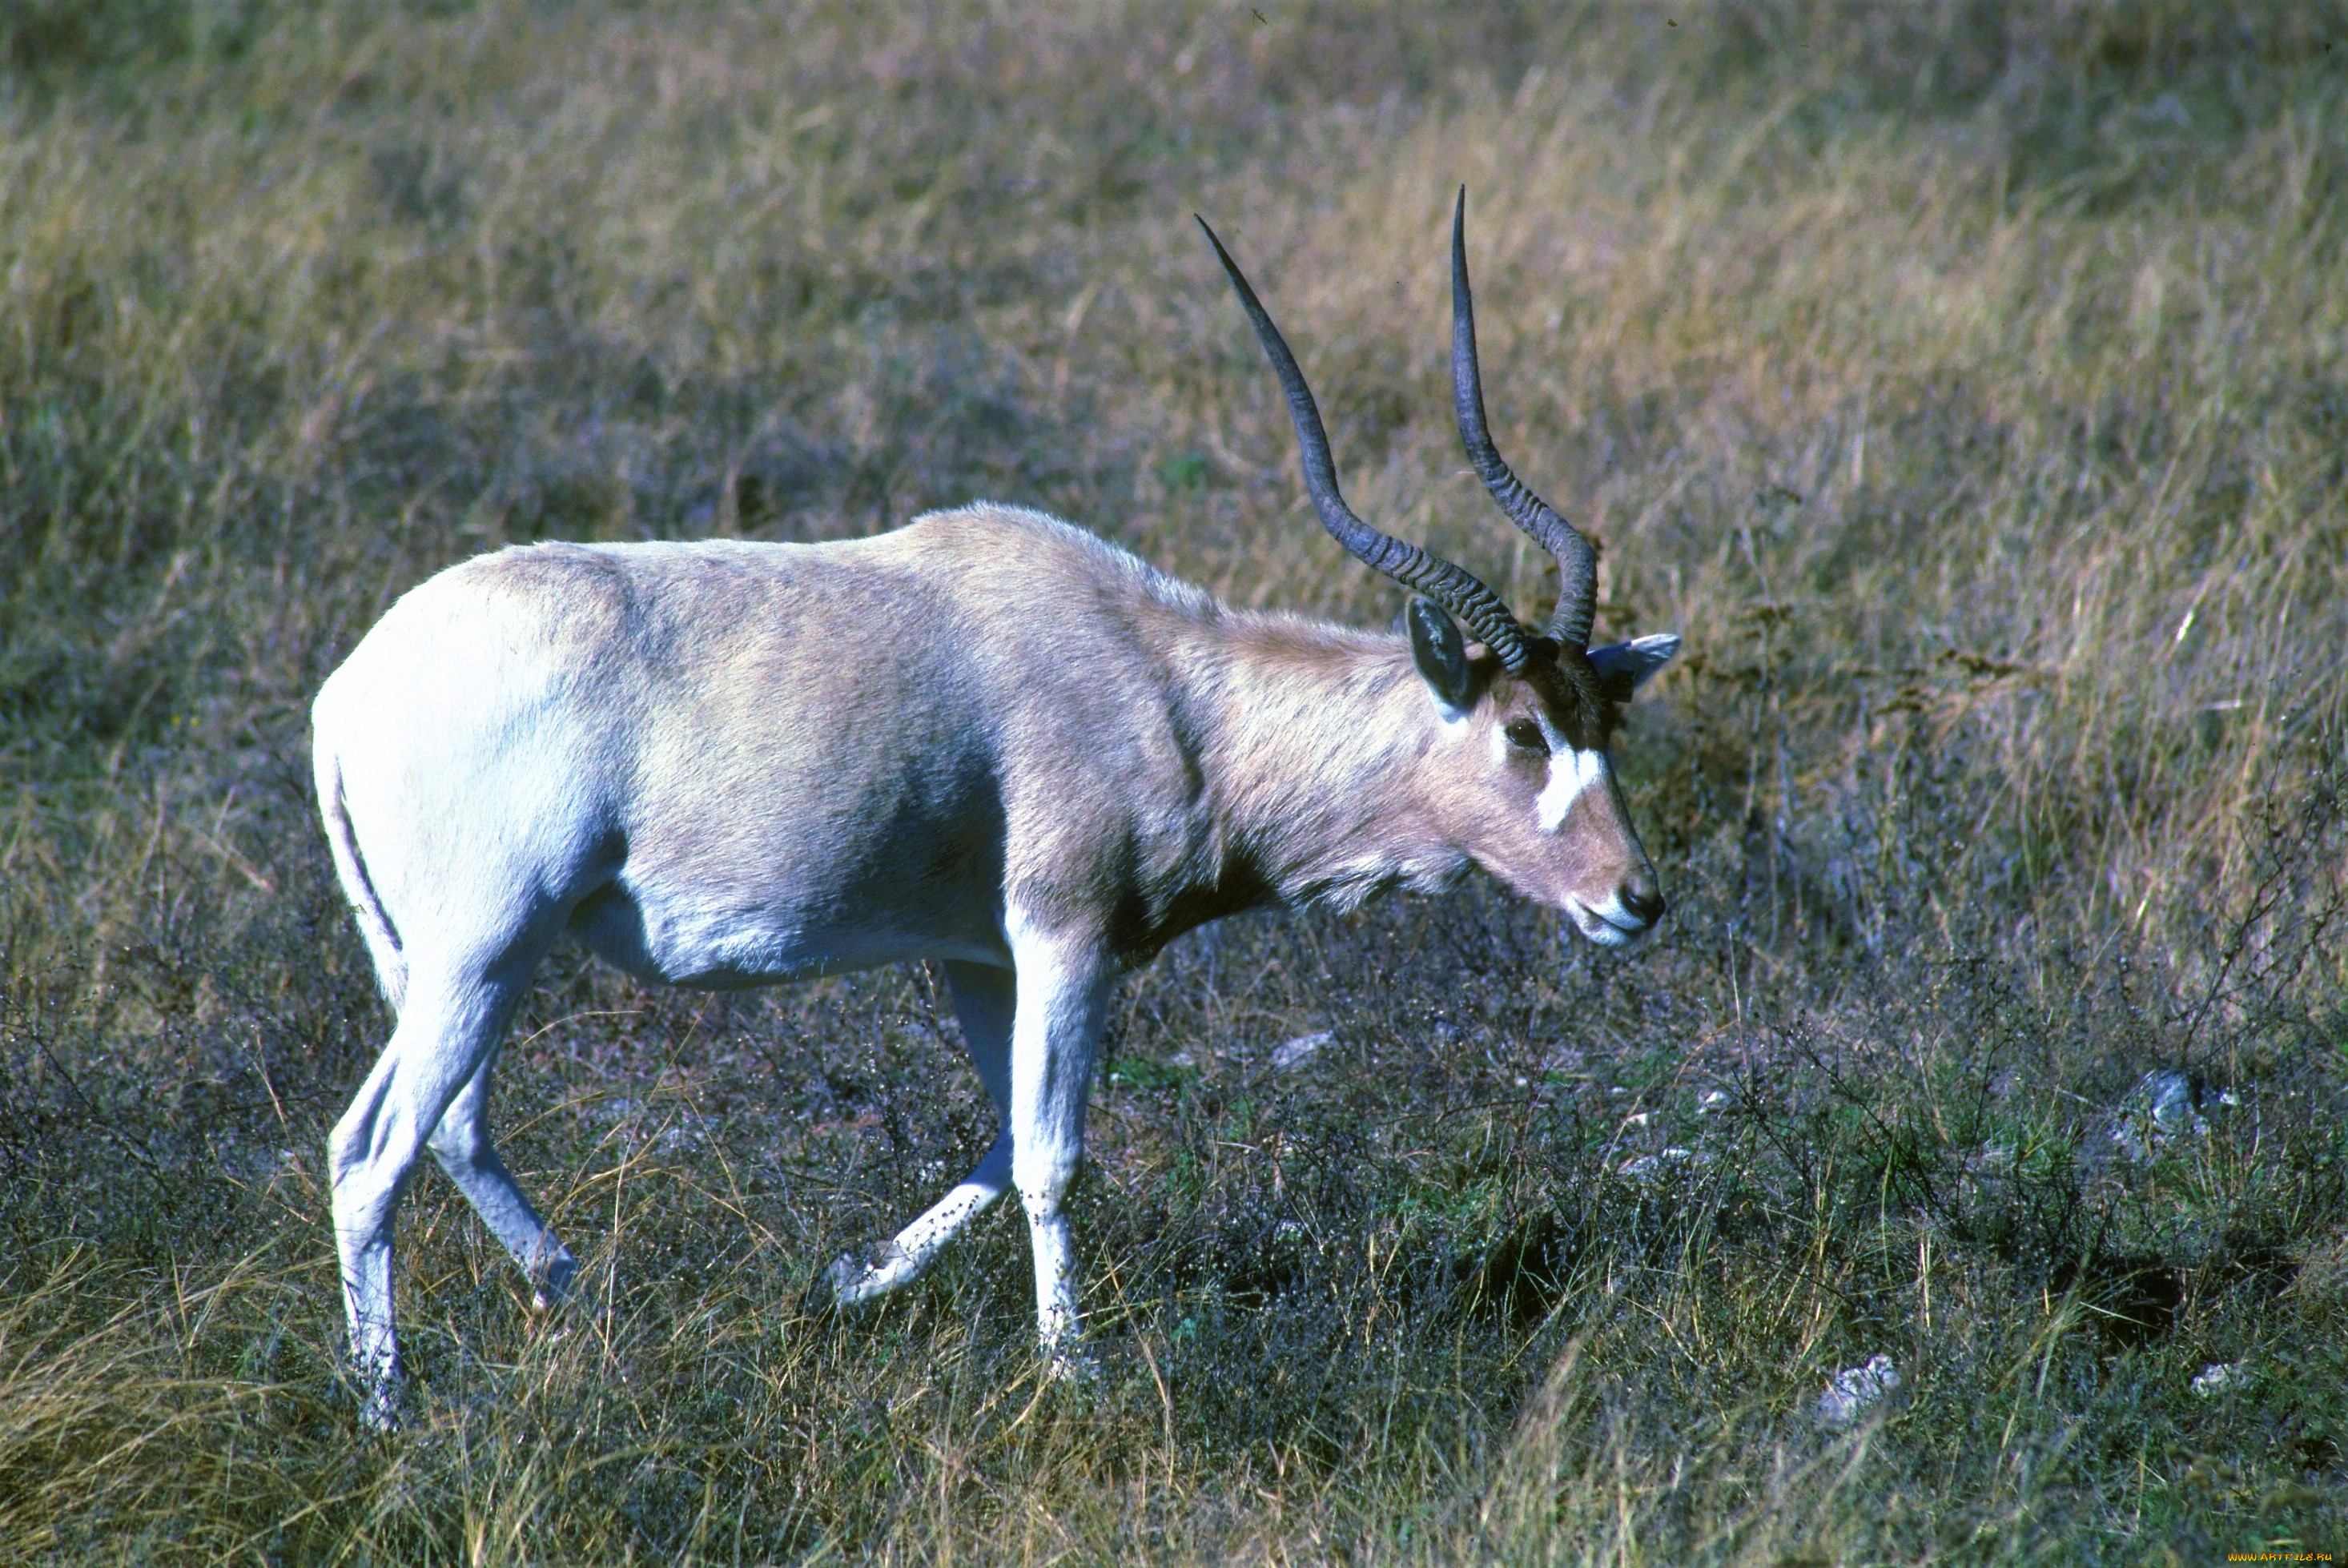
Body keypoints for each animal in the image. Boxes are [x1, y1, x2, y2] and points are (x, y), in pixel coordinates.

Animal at [312, 190, 1671, 1427]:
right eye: (1522, 730)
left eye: (1604, 721)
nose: (1636, 899)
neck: (1162, 683)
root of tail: (349, 692)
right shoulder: (1064, 936)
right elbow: (1055, 1153)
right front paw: (1076, 1368)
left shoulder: (982, 956)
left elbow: (1006, 1137)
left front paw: (852, 1276)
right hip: (488, 947)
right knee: (370, 1153)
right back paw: (388, 1407)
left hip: (453, 963)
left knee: (447, 1126)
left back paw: (563, 1284)